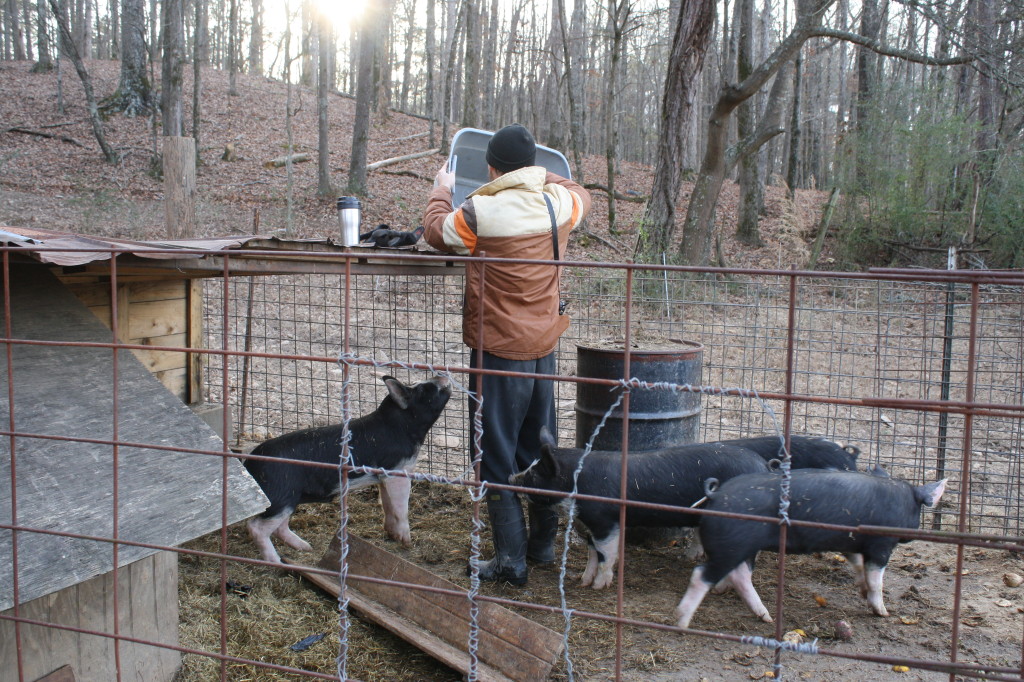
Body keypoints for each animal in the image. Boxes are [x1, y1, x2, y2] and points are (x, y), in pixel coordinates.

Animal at [243, 374, 452, 561]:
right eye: (424, 390)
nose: (442, 374)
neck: (401, 426)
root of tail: (250, 461)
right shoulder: (398, 472)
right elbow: (401, 508)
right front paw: (407, 542)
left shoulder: (383, 477)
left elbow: (387, 505)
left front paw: (391, 534)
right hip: (280, 496)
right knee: (255, 527)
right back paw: (276, 561)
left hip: (290, 498)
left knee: (279, 526)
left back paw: (306, 547)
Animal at [507, 425, 770, 589]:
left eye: (535, 475)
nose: (511, 478)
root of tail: (764, 467)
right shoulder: (589, 524)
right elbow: (592, 553)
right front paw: (582, 581)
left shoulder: (605, 521)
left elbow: (606, 554)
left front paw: (598, 586)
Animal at [675, 466, 946, 626]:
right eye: (920, 508)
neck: (903, 499)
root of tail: (716, 495)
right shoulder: (881, 545)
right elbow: (877, 579)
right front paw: (883, 612)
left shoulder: (849, 542)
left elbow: (859, 566)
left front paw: (862, 591)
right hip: (733, 544)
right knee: (703, 574)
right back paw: (683, 621)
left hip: (742, 546)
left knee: (738, 574)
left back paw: (761, 614)